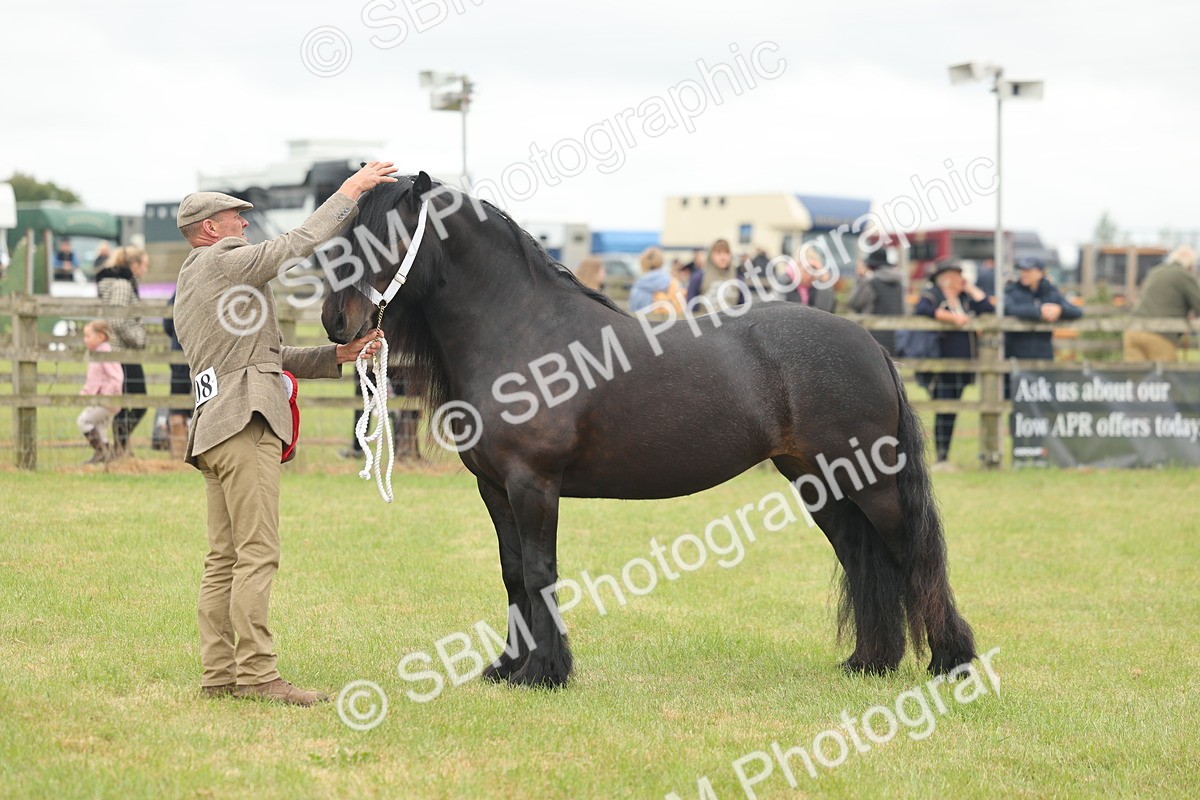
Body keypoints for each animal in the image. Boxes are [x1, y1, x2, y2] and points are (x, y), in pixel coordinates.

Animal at [321, 172, 977, 687]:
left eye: (386, 236)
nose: (336, 323)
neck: (522, 330)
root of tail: (868, 343)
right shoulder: (495, 487)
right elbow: (512, 575)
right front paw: (508, 667)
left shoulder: (534, 484)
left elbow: (539, 572)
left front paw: (546, 672)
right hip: (822, 484)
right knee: (863, 558)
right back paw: (871, 661)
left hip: (873, 482)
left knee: (911, 556)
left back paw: (950, 662)